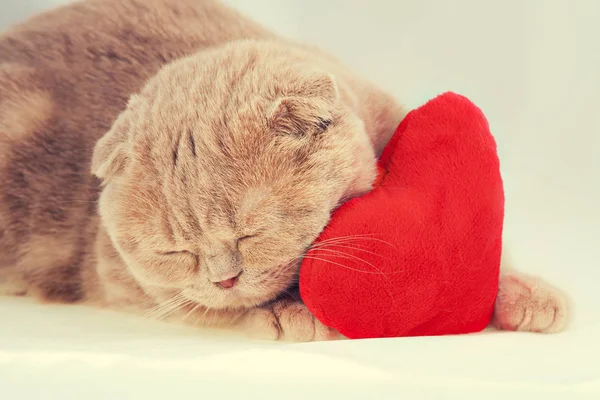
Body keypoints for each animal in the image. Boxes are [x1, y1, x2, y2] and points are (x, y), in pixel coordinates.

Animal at [0, 0, 568, 340]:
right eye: (175, 252)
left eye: (253, 232)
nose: (224, 278)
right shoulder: (124, 280)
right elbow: (209, 306)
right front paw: (284, 311)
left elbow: (495, 249)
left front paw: (529, 292)